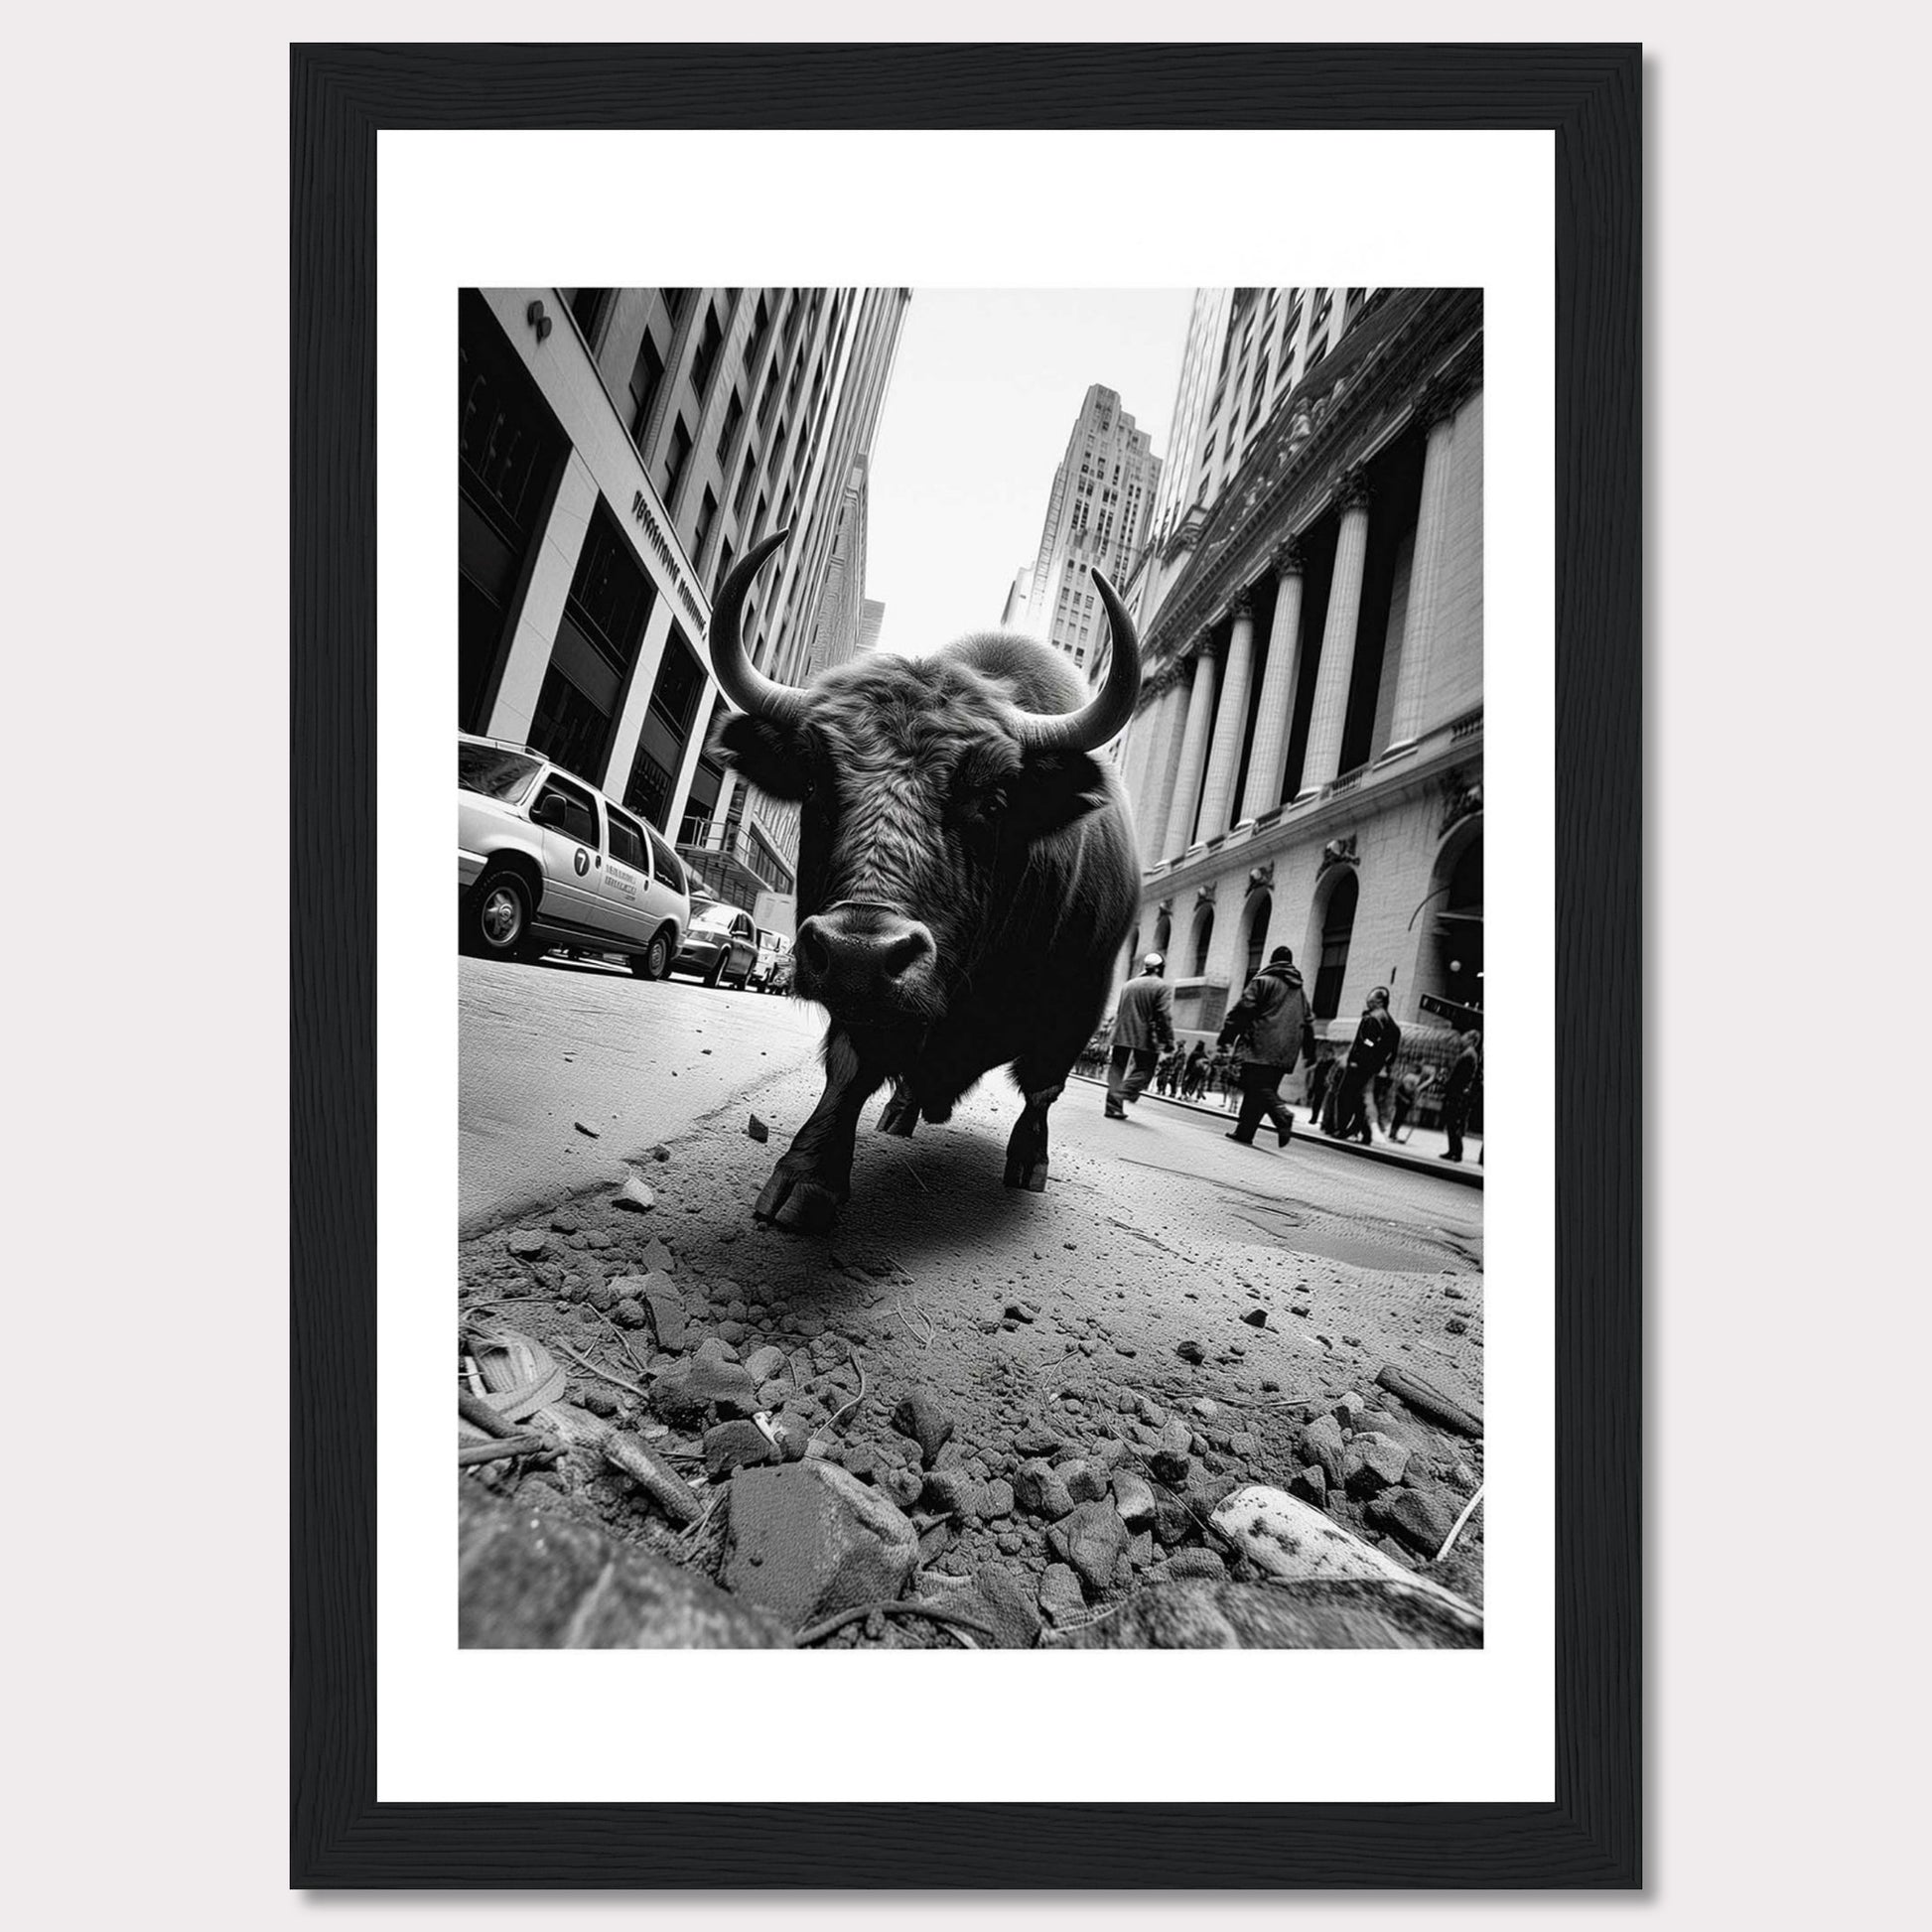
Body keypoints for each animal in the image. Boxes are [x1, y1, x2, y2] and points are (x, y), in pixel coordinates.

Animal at [711, 533, 1144, 1220]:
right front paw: (807, 1178)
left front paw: (1030, 1163)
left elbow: (1043, 1090)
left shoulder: (1080, 999)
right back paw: (900, 1112)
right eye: (814, 785)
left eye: (992, 800)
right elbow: (848, 1070)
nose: (858, 952)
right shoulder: (865, 1006)